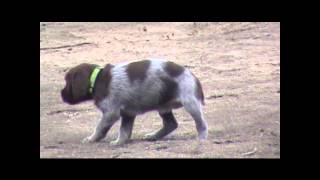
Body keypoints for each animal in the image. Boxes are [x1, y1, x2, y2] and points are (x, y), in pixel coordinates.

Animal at [61, 58, 209, 146]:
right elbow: (124, 131)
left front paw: (92, 139)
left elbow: (100, 128)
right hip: (163, 106)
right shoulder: (128, 114)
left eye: (68, 83)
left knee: (201, 123)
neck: (97, 80)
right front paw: (119, 142)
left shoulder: (111, 113)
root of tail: (193, 77)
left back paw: (202, 137)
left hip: (190, 103)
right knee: (171, 124)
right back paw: (153, 136)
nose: (61, 95)